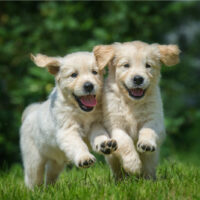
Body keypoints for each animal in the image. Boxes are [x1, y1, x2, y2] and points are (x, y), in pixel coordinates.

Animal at [19, 51, 117, 189]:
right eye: (73, 75)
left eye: (94, 72)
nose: (89, 86)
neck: (81, 111)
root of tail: (31, 112)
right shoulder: (67, 130)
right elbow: (78, 144)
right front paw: (84, 157)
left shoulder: (96, 123)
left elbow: (99, 134)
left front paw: (105, 144)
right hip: (34, 159)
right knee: (33, 179)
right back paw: (35, 191)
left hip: (56, 161)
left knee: (51, 174)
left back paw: (50, 189)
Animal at [93, 40, 180, 178]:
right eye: (126, 65)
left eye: (148, 65)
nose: (138, 79)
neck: (132, 102)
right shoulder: (114, 125)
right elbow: (124, 141)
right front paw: (133, 164)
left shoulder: (155, 119)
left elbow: (148, 129)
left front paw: (146, 144)